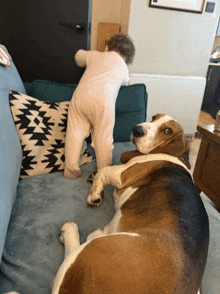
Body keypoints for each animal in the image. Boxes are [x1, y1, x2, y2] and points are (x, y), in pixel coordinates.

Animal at [7, 113, 210, 292]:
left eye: (168, 130)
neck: (175, 156)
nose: (136, 129)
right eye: (153, 117)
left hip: (88, 252)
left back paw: (69, 231)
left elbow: (104, 171)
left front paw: (95, 194)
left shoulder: (122, 174)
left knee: (66, 263)